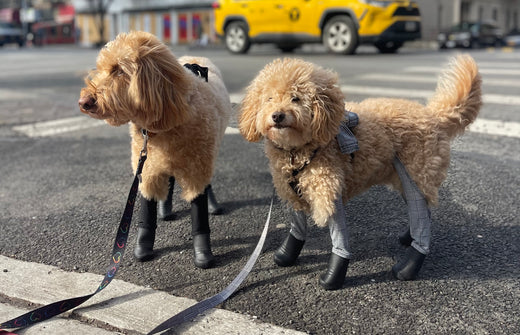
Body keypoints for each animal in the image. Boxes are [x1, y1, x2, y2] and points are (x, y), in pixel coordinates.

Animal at [77, 31, 232, 270]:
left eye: (119, 70)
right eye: (101, 68)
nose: (83, 102)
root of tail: (196, 57)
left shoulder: (197, 167)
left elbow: (199, 210)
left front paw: (203, 252)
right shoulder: (147, 168)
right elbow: (146, 208)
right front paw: (143, 246)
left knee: (206, 183)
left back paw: (212, 204)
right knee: (170, 181)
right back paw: (165, 210)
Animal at [242, 55, 482, 292]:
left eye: (296, 98)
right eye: (269, 98)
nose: (277, 115)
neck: (298, 152)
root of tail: (434, 116)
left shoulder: (329, 188)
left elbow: (339, 238)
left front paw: (333, 277)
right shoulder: (293, 191)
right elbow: (297, 228)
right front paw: (287, 255)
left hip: (416, 173)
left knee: (422, 217)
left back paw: (408, 267)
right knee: (423, 212)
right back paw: (408, 237)